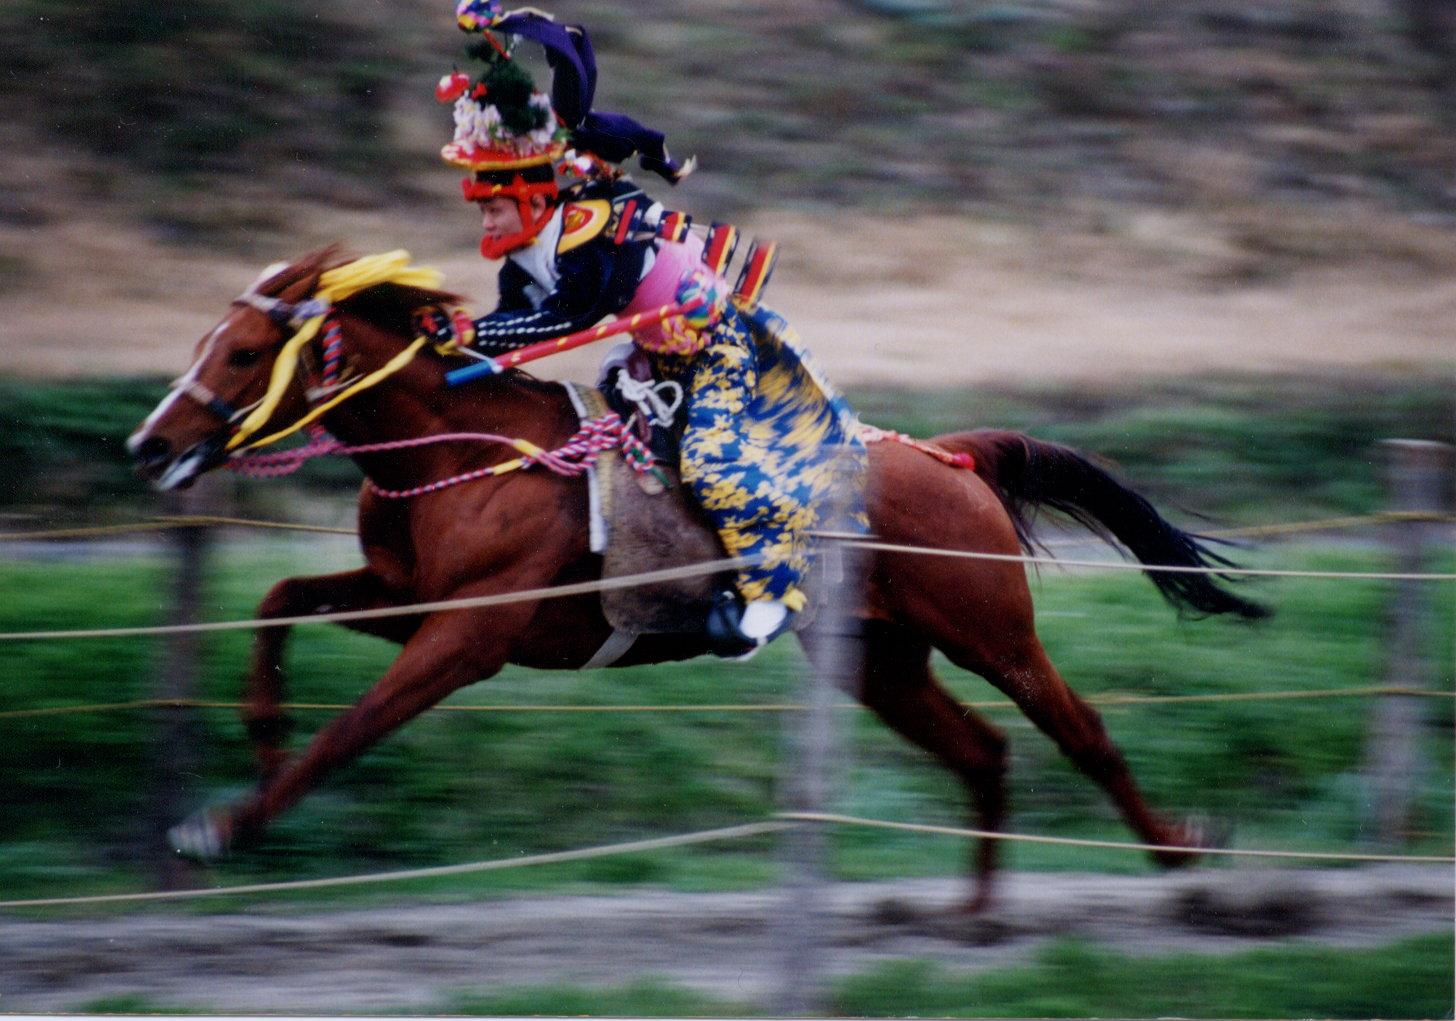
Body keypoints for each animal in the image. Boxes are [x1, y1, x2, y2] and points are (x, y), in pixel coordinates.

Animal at [125, 249, 1263, 908]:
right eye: (208, 341)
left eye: (241, 355)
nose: (148, 446)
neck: (465, 449)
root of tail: (947, 456)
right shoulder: (408, 596)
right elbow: (278, 602)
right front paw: (258, 735)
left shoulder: (467, 636)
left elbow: (351, 728)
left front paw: (225, 823)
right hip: (875, 659)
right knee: (981, 748)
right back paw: (972, 919)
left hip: (990, 630)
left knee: (1079, 728)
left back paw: (1179, 851)